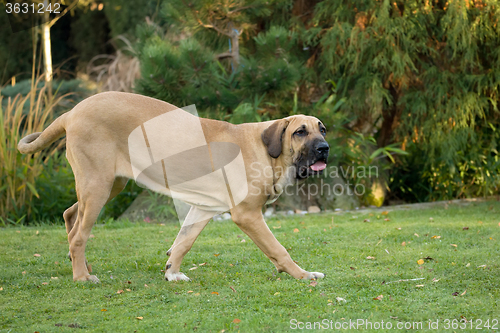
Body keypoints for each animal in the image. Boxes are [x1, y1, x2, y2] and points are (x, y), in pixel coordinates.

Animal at [17, 91, 330, 282]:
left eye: (322, 129)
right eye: (300, 132)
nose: (324, 149)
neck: (267, 152)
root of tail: (71, 113)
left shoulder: (203, 208)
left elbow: (183, 242)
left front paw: (172, 272)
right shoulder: (248, 215)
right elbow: (278, 248)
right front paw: (302, 275)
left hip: (109, 184)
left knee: (71, 215)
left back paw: (80, 264)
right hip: (98, 185)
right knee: (79, 235)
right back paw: (82, 276)